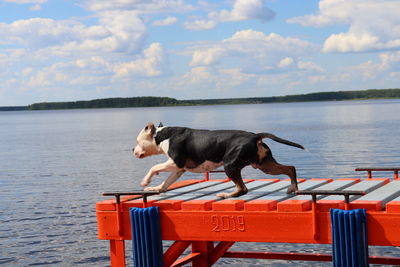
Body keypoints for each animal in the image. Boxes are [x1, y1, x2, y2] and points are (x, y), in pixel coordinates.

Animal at [131, 123, 304, 199]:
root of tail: (255, 136)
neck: (161, 135)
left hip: (230, 165)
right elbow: (166, 183)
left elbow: (154, 167)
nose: (133, 149)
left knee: (242, 189)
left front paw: (145, 181)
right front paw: (155, 188)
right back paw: (292, 188)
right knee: (290, 168)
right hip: (265, 165)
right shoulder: (179, 169)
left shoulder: (175, 163)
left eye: (138, 141)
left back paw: (225, 195)